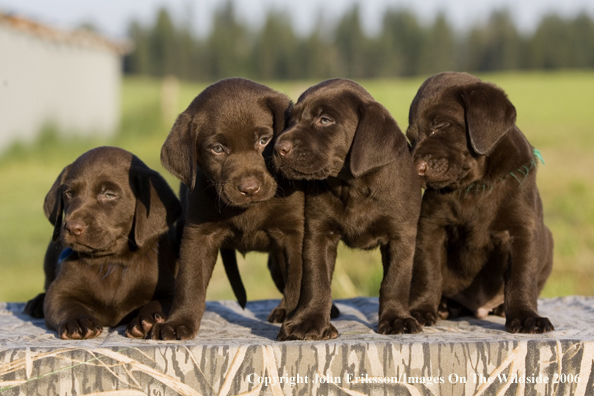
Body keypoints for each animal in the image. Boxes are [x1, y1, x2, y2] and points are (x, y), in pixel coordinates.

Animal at [26, 147, 178, 338]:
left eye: (109, 194)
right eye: (69, 193)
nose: (72, 227)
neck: (112, 262)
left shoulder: (172, 289)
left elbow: (161, 302)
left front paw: (149, 319)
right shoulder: (59, 292)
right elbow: (67, 305)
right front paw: (78, 321)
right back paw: (36, 303)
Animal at [150, 78, 302, 340]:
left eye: (264, 140)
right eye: (218, 149)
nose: (250, 189)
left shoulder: (294, 234)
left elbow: (299, 282)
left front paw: (299, 322)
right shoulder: (198, 234)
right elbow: (189, 282)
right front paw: (179, 321)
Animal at [272, 78, 420, 340]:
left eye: (325, 120)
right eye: (291, 120)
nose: (278, 148)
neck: (352, 186)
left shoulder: (401, 235)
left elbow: (395, 280)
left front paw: (397, 319)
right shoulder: (317, 234)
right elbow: (315, 280)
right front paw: (308, 321)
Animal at [404, 72, 552, 334]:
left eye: (441, 126)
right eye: (410, 138)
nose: (416, 169)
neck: (474, 185)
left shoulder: (521, 229)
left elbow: (521, 276)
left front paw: (526, 317)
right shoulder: (430, 226)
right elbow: (427, 272)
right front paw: (421, 310)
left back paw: (500, 307)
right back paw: (444, 306)